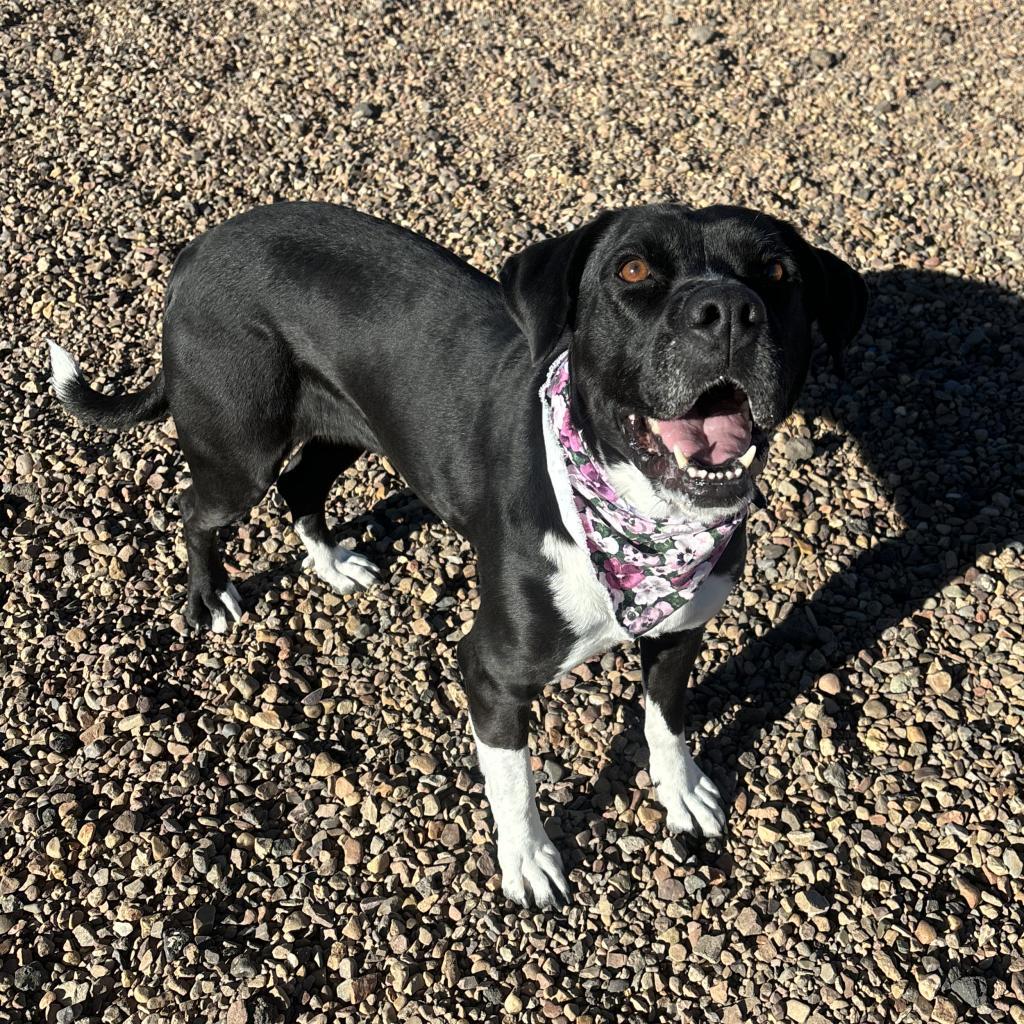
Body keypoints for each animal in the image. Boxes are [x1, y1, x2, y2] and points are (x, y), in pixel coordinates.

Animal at [48, 199, 864, 905]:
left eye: (778, 272)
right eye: (632, 271)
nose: (726, 311)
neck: (639, 523)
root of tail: (196, 251)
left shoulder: (680, 629)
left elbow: (666, 719)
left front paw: (683, 792)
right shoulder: (493, 671)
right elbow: (513, 779)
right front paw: (528, 860)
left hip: (351, 424)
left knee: (303, 482)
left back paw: (332, 561)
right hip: (238, 446)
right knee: (199, 509)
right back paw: (210, 595)